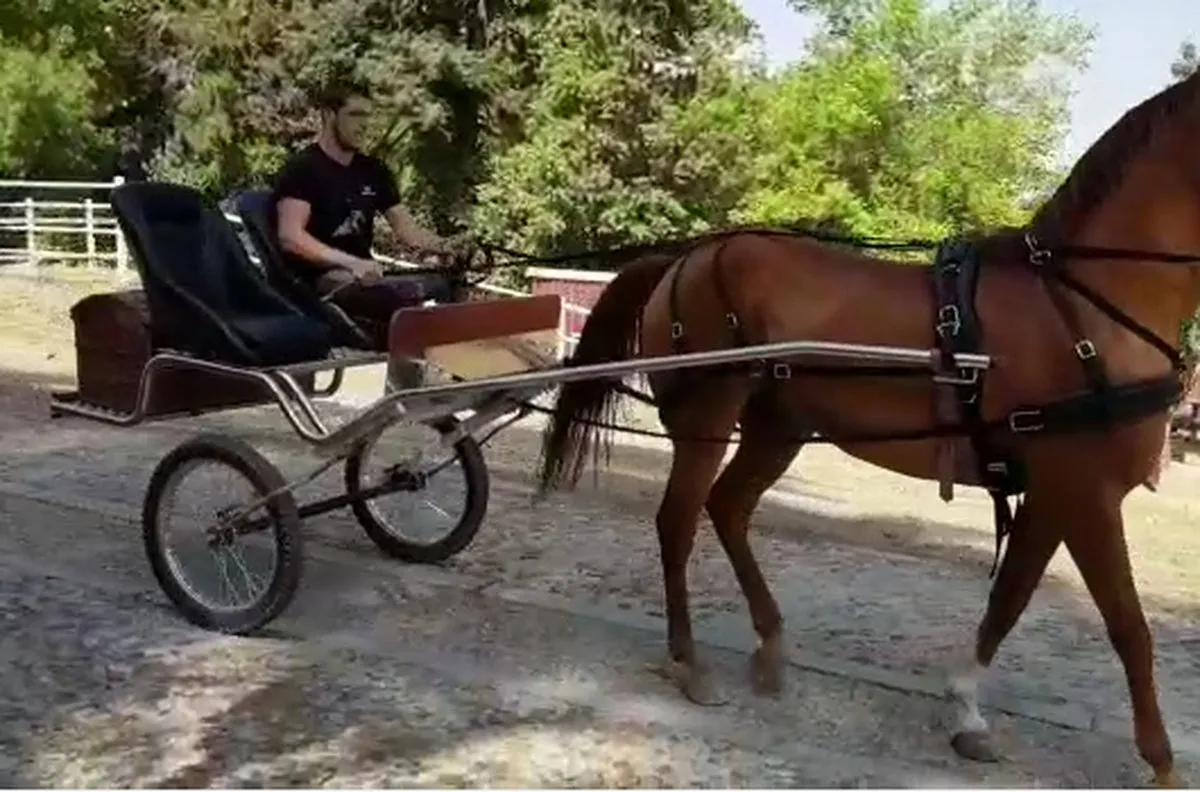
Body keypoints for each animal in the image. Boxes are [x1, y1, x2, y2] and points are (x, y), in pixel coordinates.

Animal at [534, 69, 1200, 785]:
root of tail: (686, 257)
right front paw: (1162, 761)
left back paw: (770, 644)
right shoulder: (1086, 495)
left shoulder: (1053, 495)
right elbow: (1128, 625)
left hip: (778, 427)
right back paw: (689, 661)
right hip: (709, 420)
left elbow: (1011, 598)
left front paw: (966, 710)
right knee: (678, 521)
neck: (1084, 304)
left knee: (728, 508)